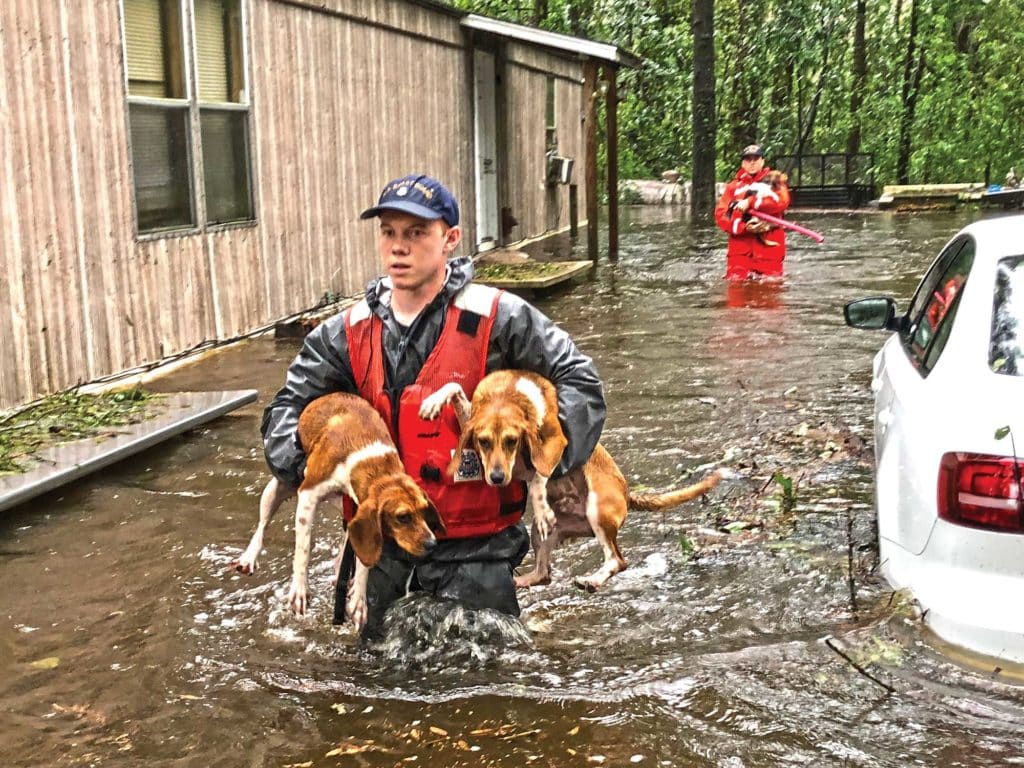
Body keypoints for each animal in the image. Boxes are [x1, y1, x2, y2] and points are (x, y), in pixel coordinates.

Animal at [235, 393, 444, 626]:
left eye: (424, 511)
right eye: (403, 517)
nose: (432, 544)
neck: (374, 464)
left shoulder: (361, 511)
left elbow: (363, 560)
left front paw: (359, 599)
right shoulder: (308, 494)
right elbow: (303, 550)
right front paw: (299, 589)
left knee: (346, 537)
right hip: (275, 489)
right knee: (262, 525)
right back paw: (249, 556)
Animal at [417, 372, 720, 593]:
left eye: (512, 441)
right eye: (483, 442)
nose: (497, 478)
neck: (508, 396)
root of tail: (627, 493)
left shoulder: (553, 448)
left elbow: (539, 477)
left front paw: (541, 503)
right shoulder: (473, 419)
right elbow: (455, 388)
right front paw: (434, 400)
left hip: (598, 512)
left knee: (617, 560)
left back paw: (591, 580)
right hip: (542, 535)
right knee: (543, 574)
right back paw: (521, 580)